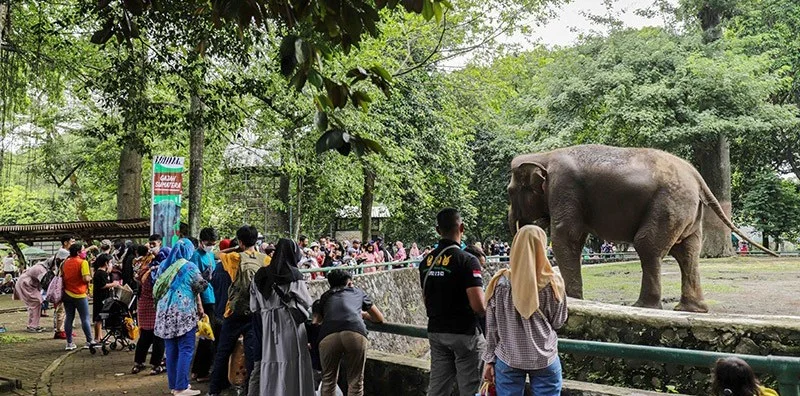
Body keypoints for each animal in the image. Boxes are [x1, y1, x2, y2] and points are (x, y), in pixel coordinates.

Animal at [506, 143, 776, 312]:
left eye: (509, 191)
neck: (545, 155)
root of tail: (696, 176)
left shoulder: (564, 188)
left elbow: (568, 237)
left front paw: (573, 299)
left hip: (668, 203)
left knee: (648, 246)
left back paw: (644, 307)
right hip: (685, 210)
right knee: (687, 252)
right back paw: (691, 310)